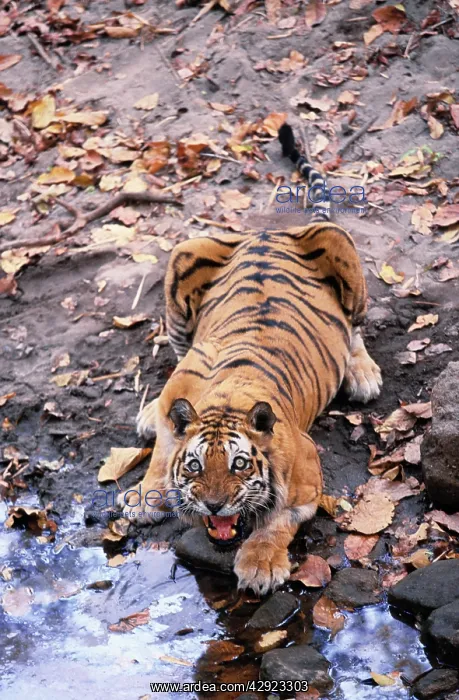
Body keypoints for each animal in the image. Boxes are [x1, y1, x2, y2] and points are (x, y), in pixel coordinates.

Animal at [122, 123, 382, 595]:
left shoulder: (306, 482)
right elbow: (161, 452)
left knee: (353, 328)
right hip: (186, 253)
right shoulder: (179, 394)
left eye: (239, 466)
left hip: (339, 247)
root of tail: (269, 234)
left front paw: (260, 565)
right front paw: (144, 496)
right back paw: (149, 414)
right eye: (195, 466)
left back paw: (363, 373)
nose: (213, 505)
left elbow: (276, 523)